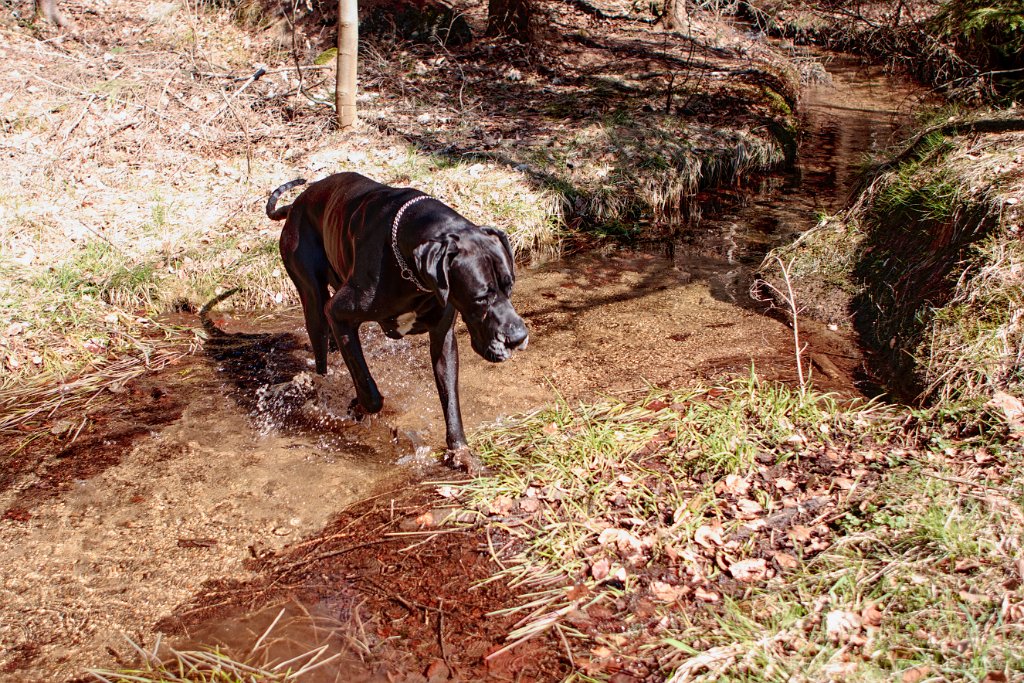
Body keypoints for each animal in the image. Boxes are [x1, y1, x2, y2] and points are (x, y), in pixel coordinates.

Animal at [266, 172, 528, 471]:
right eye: (481, 298)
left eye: (510, 286)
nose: (518, 337)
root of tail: (295, 205)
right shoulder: (339, 315)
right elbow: (369, 390)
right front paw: (358, 406)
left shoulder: (443, 339)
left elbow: (450, 400)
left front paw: (460, 452)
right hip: (313, 300)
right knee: (320, 354)